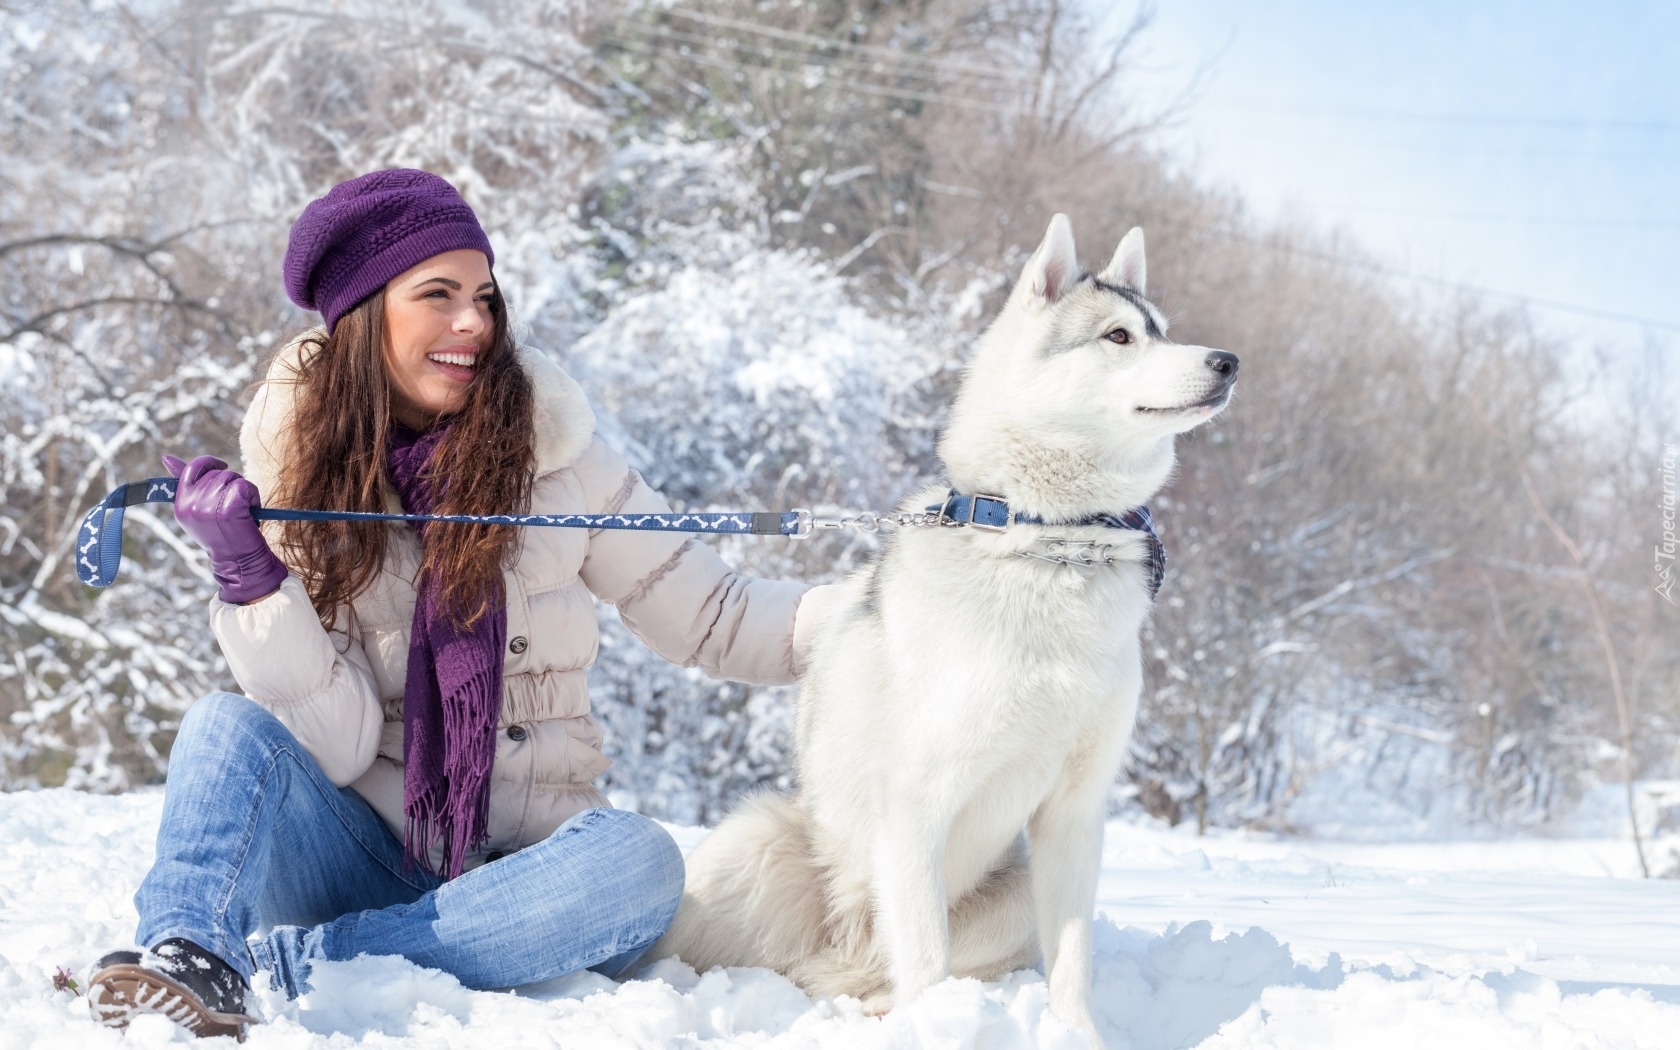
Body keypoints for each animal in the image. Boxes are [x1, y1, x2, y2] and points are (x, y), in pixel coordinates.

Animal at [648, 215, 1243, 1048]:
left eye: (1164, 329)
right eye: (1119, 336)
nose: (1227, 361)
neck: (1049, 542)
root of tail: (840, 956)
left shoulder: (1075, 813)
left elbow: (1071, 964)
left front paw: (1076, 1035)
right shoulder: (917, 804)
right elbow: (925, 955)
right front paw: (942, 1029)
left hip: (1012, 894)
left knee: (884, 977)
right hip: (757, 843)